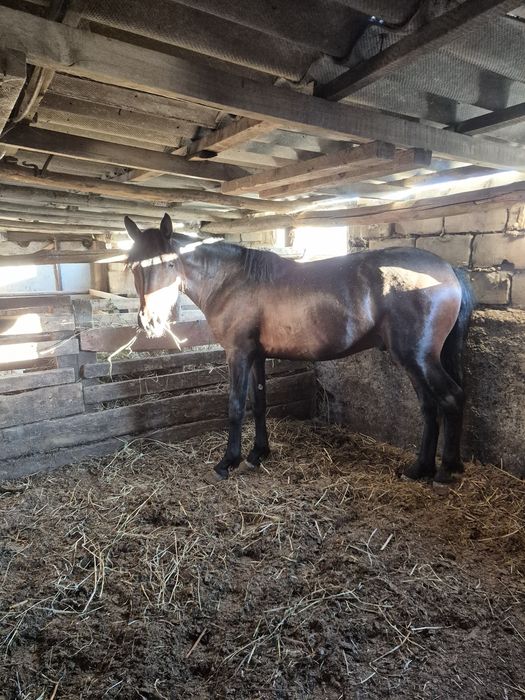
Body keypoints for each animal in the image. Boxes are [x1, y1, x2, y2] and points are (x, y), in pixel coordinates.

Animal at [125, 213, 474, 486]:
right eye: (132, 266)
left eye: (170, 263)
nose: (150, 322)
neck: (232, 280)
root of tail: (449, 270)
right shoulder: (257, 355)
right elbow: (259, 403)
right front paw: (257, 454)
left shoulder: (238, 354)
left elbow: (236, 406)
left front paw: (227, 462)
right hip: (415, 361)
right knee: (429, 407)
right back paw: (419, 469)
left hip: (418, 358)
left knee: (451, 398)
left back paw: (446, 472)